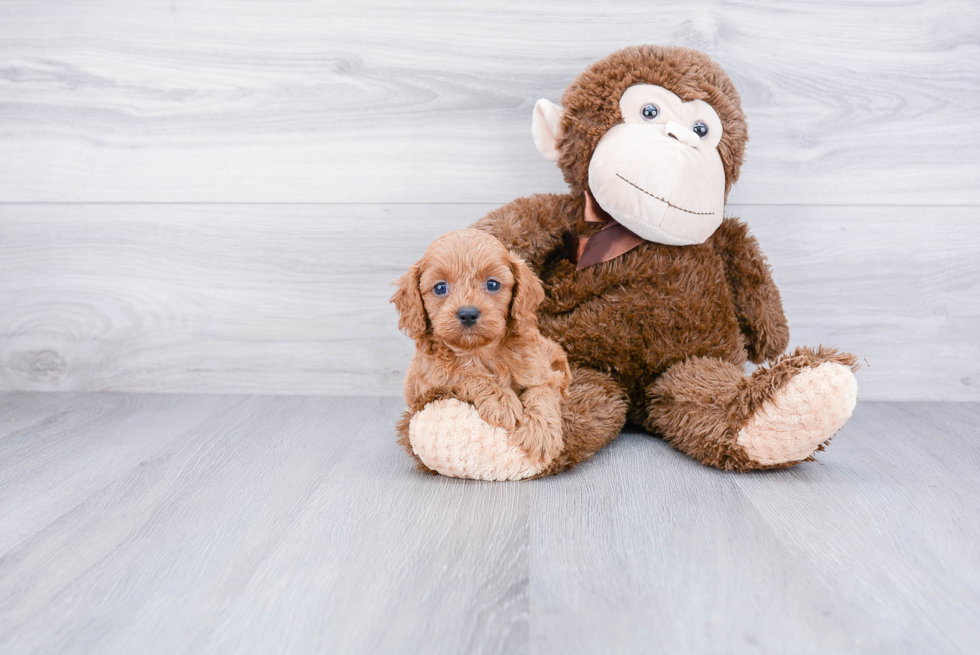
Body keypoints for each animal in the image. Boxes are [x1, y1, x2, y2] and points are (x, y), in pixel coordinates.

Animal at [392, 228, 572, 468]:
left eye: (493, 284)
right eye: (440, 288)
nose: (468, 313)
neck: (478, 352)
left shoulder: (542, 372)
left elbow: (542, 392)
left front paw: (540, 434)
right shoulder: (430, 382)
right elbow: (467, 376)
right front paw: (502, 402)